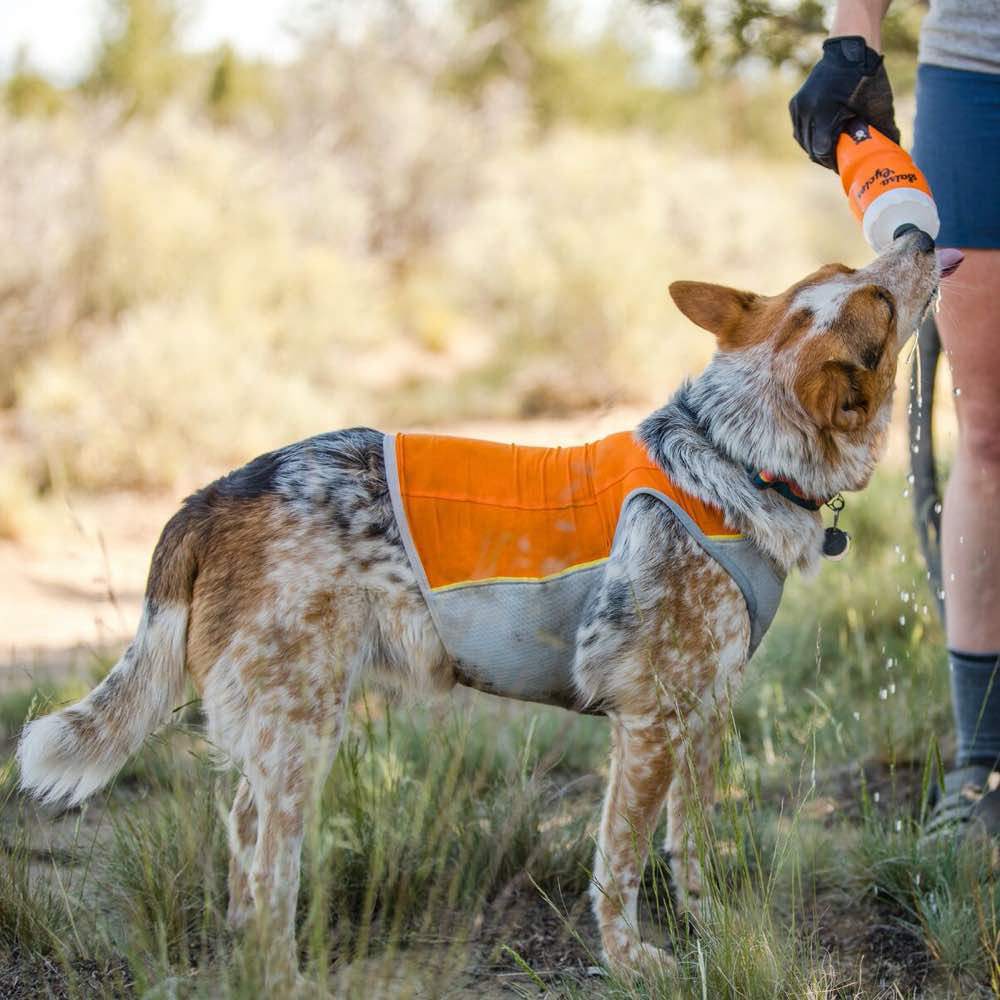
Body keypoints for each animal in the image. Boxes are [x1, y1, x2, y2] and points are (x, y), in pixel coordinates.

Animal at [15, 229, 952, 984]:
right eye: (874, 298)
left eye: (844, 271)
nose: (917, 231)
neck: (729, 456)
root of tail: (212, 495)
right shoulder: (648, 722)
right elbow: (619, 865)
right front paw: (629, 961)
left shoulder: (707, 711)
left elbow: (691, 848)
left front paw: (710, 928)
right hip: (300, 732)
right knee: (267, 862)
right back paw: (277, 974)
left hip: (286, 729)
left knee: (243, 843)